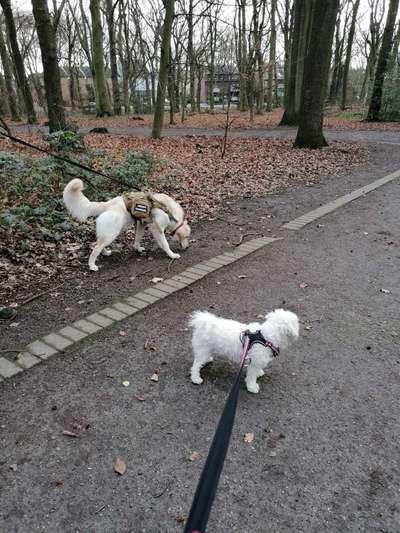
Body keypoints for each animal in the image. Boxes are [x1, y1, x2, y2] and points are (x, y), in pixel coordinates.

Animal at [63, 178, 191, 270]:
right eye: (186, 237)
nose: (187, 247)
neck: (170, 213)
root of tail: (108, 204)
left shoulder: (141, 224)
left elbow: (137, 239)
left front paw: (137, 249)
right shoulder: (156, 228)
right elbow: (165, 244)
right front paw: (172, 255)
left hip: (111, 233)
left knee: (98, 244)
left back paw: (105, 253)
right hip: (112, 233)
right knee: (96, 247)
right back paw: (92, 265)